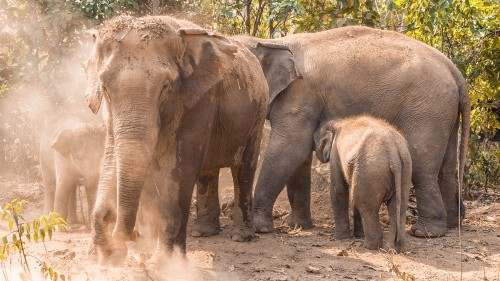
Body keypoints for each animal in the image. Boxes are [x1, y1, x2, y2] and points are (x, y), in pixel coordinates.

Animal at [85, 14, 270, 264]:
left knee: (244, 168)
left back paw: (241, 237)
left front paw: (165, 264)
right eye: (104, 87)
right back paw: (204, 232)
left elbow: (181, 168)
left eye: (166, 86)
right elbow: (111, 157)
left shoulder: (201, 100)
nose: (133, 234)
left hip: (257, 114)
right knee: (207, 171)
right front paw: (103, 256)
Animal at [232, 25, 470, 236]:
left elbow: (289, 149)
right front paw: (298, 225)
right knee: (448, 167)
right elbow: (300, 157)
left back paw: (425, 232)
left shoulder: (299, 96)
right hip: (444, 111)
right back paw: (451, 225)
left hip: (427, 109)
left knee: (422, 166)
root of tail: (454, 70)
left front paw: (260, 228)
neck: (269, 41)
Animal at [314, 115, 412, 250]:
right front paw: (358, 235)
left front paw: (341, 238)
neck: (338, 122)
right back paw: (394, 247)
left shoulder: (335, 153)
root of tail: (394, 155)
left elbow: (338, 190)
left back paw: (369, 246)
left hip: (371, 171)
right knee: (398, 206)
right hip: (404, 171)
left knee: (365, 204)